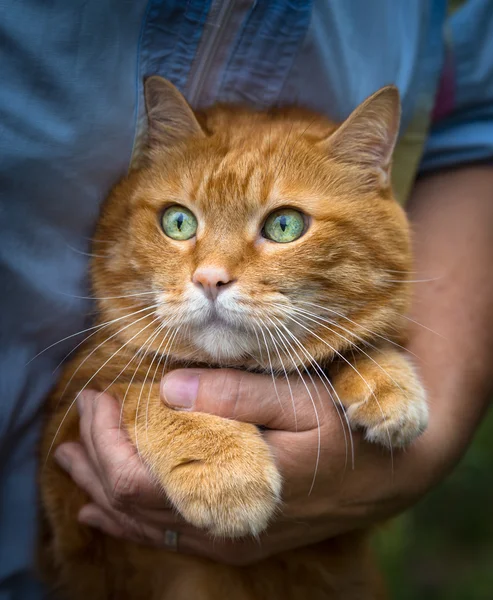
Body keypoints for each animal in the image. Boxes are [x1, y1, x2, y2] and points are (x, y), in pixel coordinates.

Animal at [39, 77, 426, 596]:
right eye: (178, 221)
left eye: (284, 225)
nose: (210, 279)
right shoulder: (68, 434)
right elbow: (148, 389)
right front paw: (225, 471)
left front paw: (386, 380)